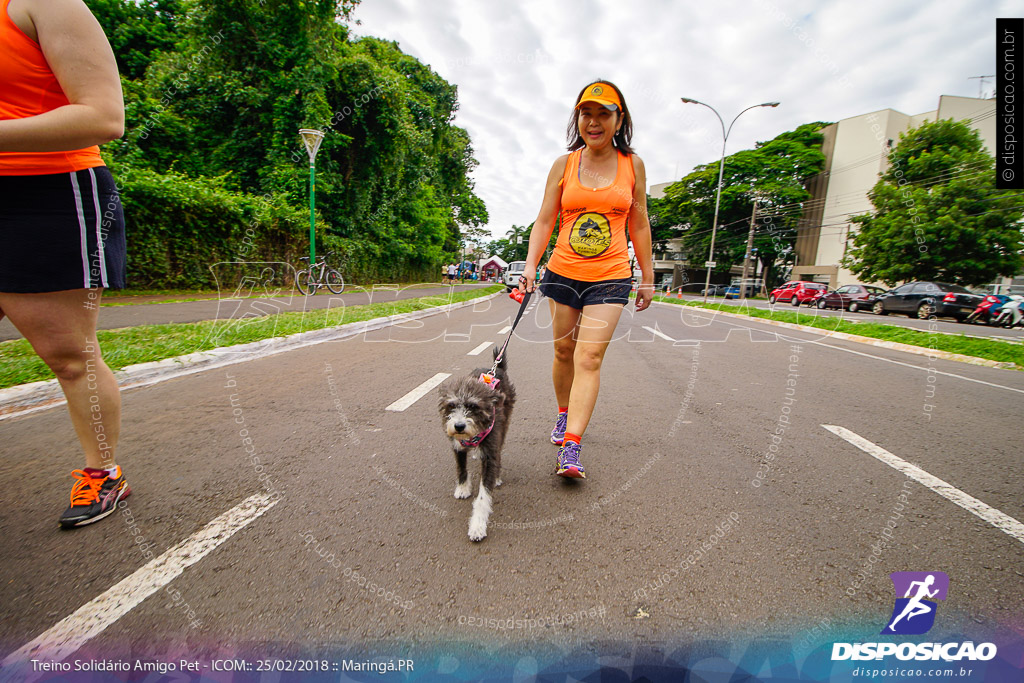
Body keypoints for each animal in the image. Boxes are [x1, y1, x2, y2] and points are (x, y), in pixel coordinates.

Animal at [436, 350, 516, 540]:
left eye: (473, 406)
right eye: (451, 405)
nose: (459, 426)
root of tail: (497, 368)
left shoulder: (490, 451)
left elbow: (483, 496)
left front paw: (477, 526)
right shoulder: (457, 446)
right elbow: (461, 468)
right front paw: (463, 488)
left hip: (504, 425)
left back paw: (497, 476)